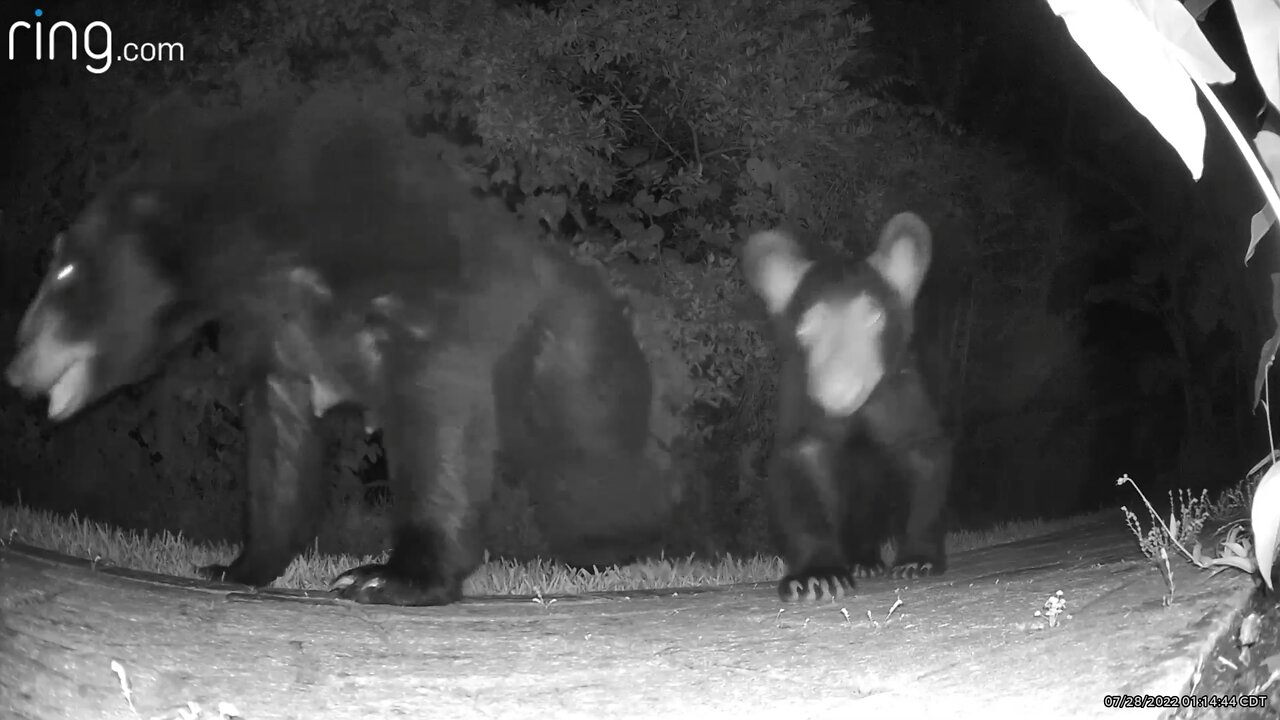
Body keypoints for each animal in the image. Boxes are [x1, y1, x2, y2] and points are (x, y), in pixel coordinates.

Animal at [5, 92, 680, 602]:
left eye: (65, 272)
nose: (15, 369)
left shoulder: (416, 281)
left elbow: (437, 423)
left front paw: (390, 576)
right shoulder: (271, 332)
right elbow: (278, 443)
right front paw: (238, 566)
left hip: (567, 362)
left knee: (593, 472)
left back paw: (632, 542)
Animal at [742, 211, 952, 599]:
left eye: (873, 317)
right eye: (808, 326)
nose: (837, 386)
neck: (856, 415)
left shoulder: (901, 396)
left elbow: (924, 461)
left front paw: (917, 560)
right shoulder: (801, 404)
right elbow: (801, 472)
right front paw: (817, 576)